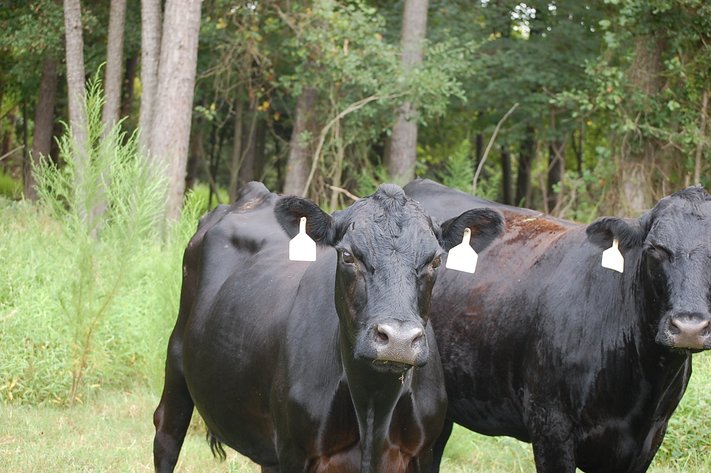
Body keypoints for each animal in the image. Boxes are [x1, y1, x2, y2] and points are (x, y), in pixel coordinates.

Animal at [153, 182, 504, 472]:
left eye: (435, 260)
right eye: (348, 255)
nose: (399, 340)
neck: (373, 407)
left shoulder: (425, 453)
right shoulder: (295, 452)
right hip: (176, 361)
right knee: (166, 433)